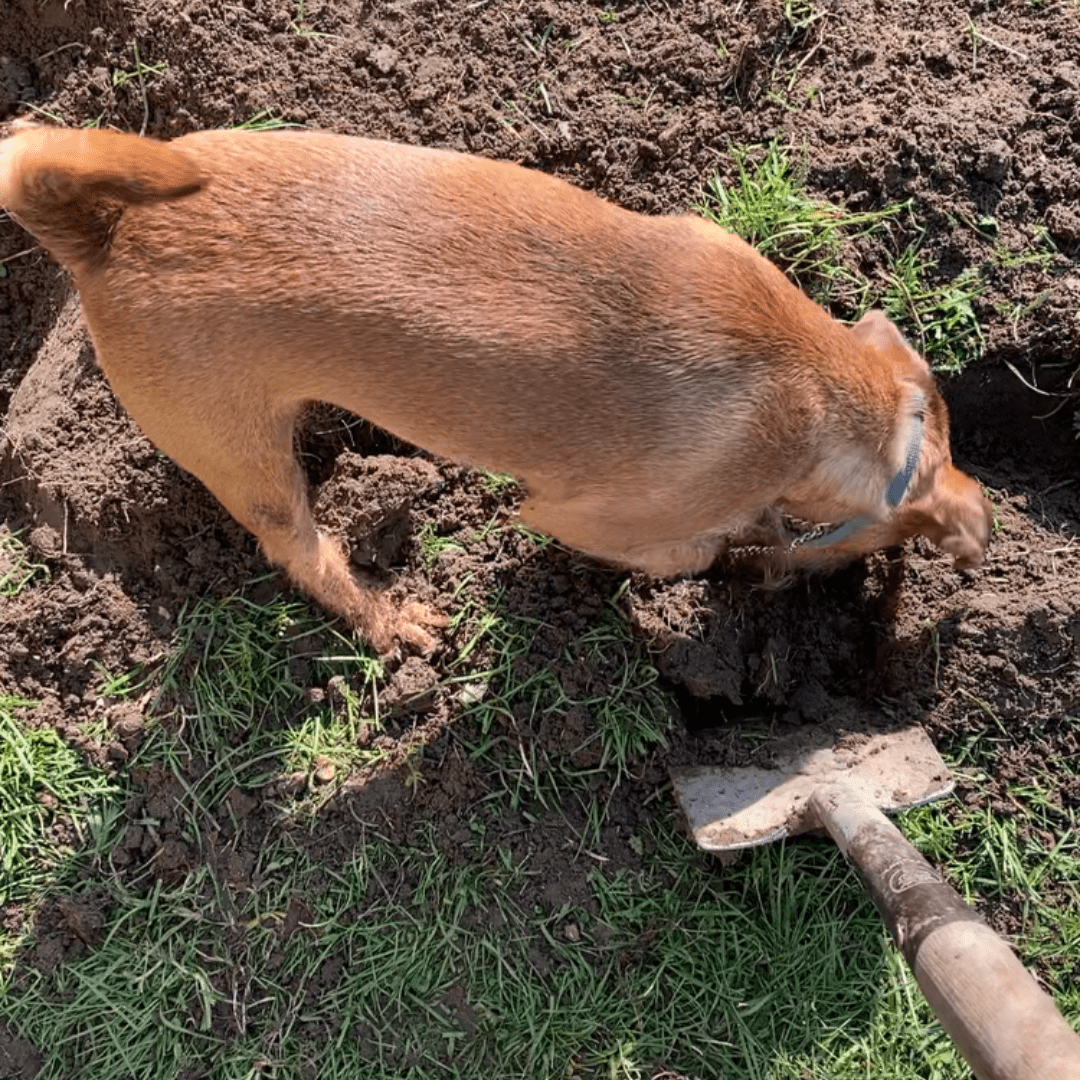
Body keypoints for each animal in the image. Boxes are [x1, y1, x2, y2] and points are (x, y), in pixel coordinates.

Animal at [0, 125, 993, 648]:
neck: (822, 388)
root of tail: (108, 234)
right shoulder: (584, 514)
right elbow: (688, 550)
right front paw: (730, 554)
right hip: (244, 460)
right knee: (304, 552)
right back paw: (393, 624)